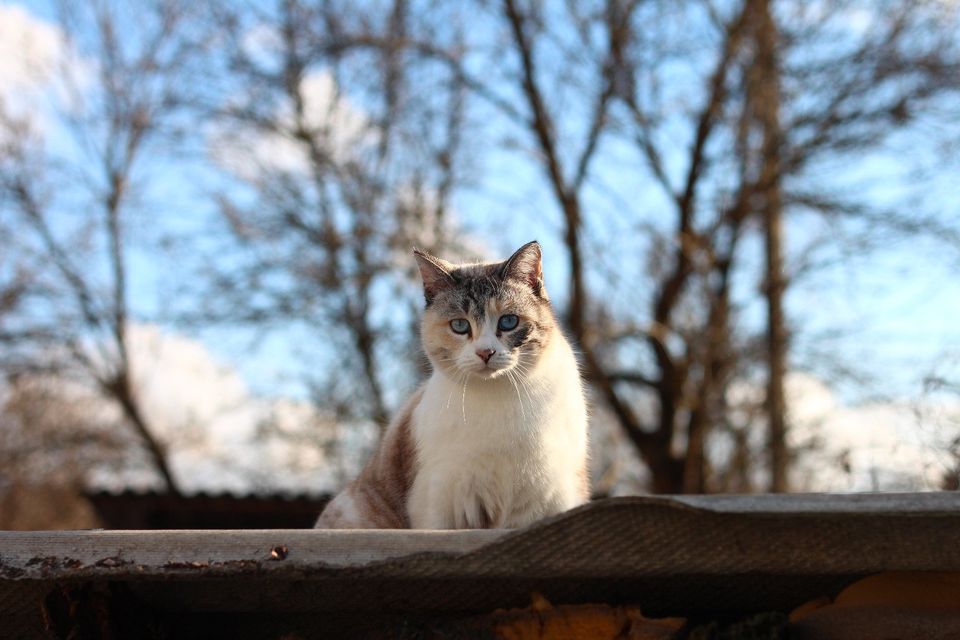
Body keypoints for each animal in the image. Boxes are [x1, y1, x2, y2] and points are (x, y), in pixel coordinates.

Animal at [316, 241, 588, 528]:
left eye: (508, 321)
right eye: (459, 325)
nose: (485, 352)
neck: (498, 398)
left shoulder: (544, 500)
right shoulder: (443, 505)